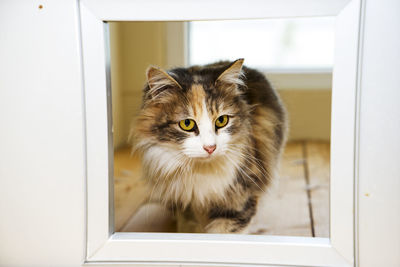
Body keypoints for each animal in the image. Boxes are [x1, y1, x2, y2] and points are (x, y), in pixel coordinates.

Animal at [132, 59, 288, 234]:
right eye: (187, 124)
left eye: (221, 120)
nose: (210, 148)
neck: (201, 173)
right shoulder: (185, 205)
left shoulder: (239, 201)